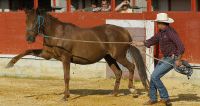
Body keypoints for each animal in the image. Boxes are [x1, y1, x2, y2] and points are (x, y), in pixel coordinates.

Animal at [5, 9, 148, 100]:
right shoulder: (47, 54)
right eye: (26, 21)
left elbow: (66, 76)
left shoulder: (65, 58)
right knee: (118, 72)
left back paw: (133, 90)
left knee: (131, 67)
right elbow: (27, 51)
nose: (29, 39)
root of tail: (124, 31)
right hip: (109, 57)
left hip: (119, 56)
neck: (57, 34)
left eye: (35, 21)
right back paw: (113, 94)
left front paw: (65, 96)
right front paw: (10, 63)